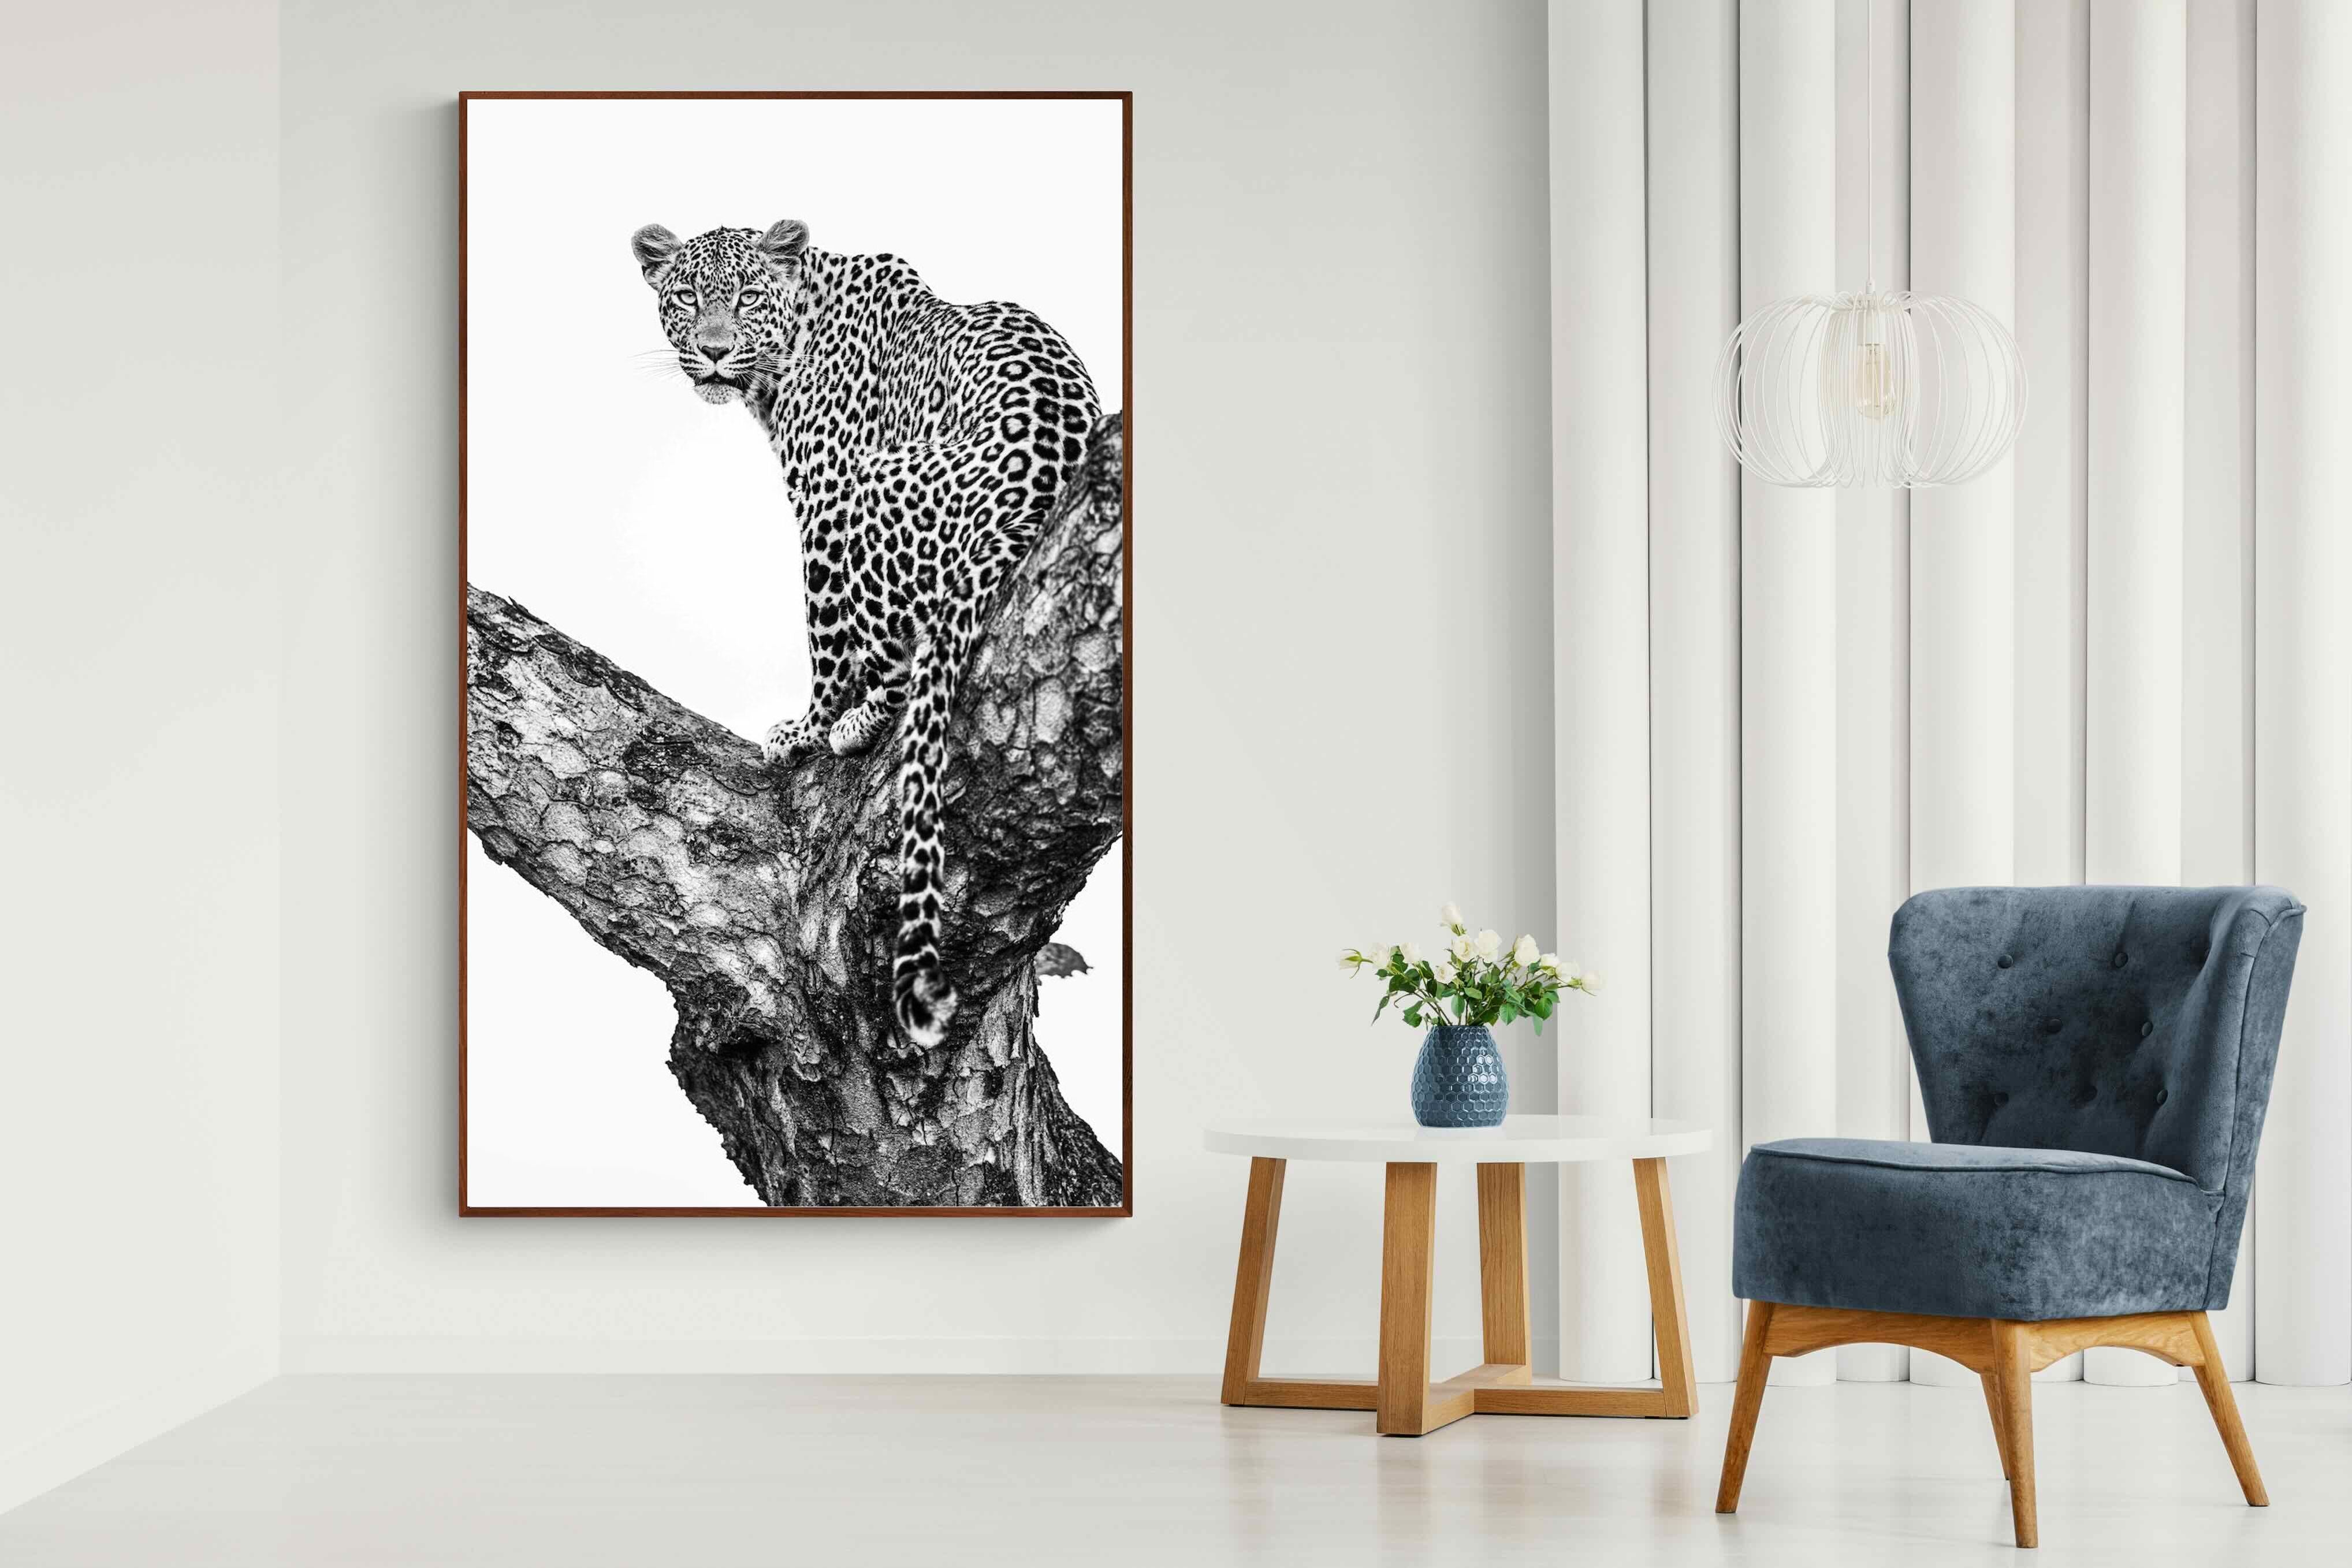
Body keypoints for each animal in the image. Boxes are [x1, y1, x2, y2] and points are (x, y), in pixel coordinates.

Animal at [631, 217, 1102, 1049]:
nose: (715, 351)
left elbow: (826, 635)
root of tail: (1028, 508)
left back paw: (854, 721)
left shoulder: (820, 502)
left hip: (869, 490)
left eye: (747, 298)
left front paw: (807, 727)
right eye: (686, 297)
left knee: (895, 652)